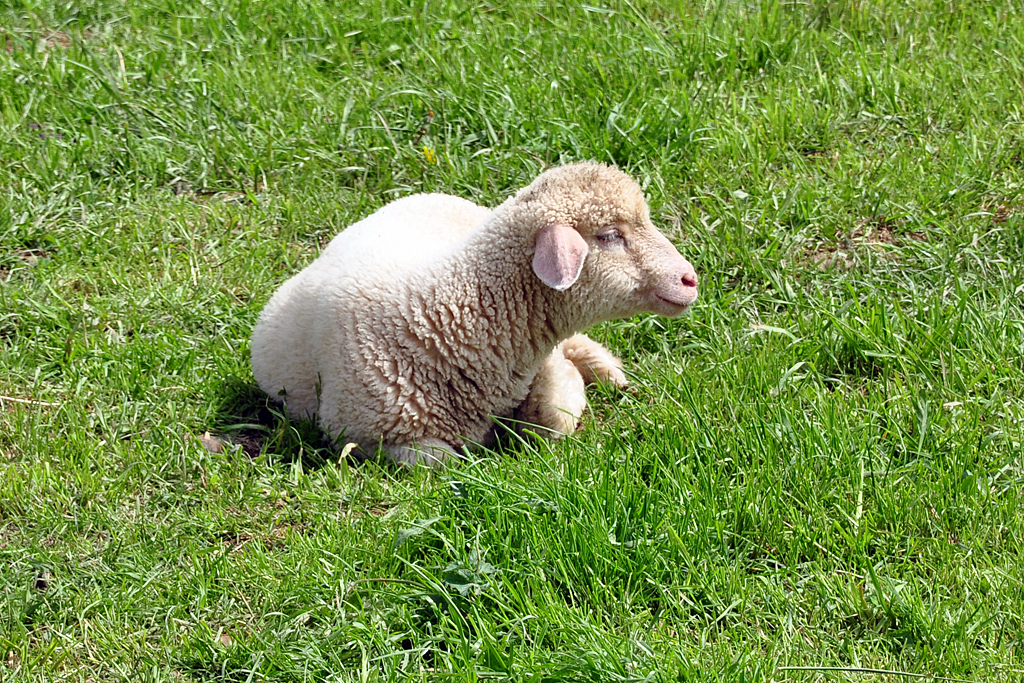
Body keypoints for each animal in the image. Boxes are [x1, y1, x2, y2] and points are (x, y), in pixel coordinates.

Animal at [249, 162, 696, 466]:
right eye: (609, 236)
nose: (690, 279)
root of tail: (421, 194)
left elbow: (554, 416)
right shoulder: (365, 431)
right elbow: (445, 460)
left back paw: (610, 373)